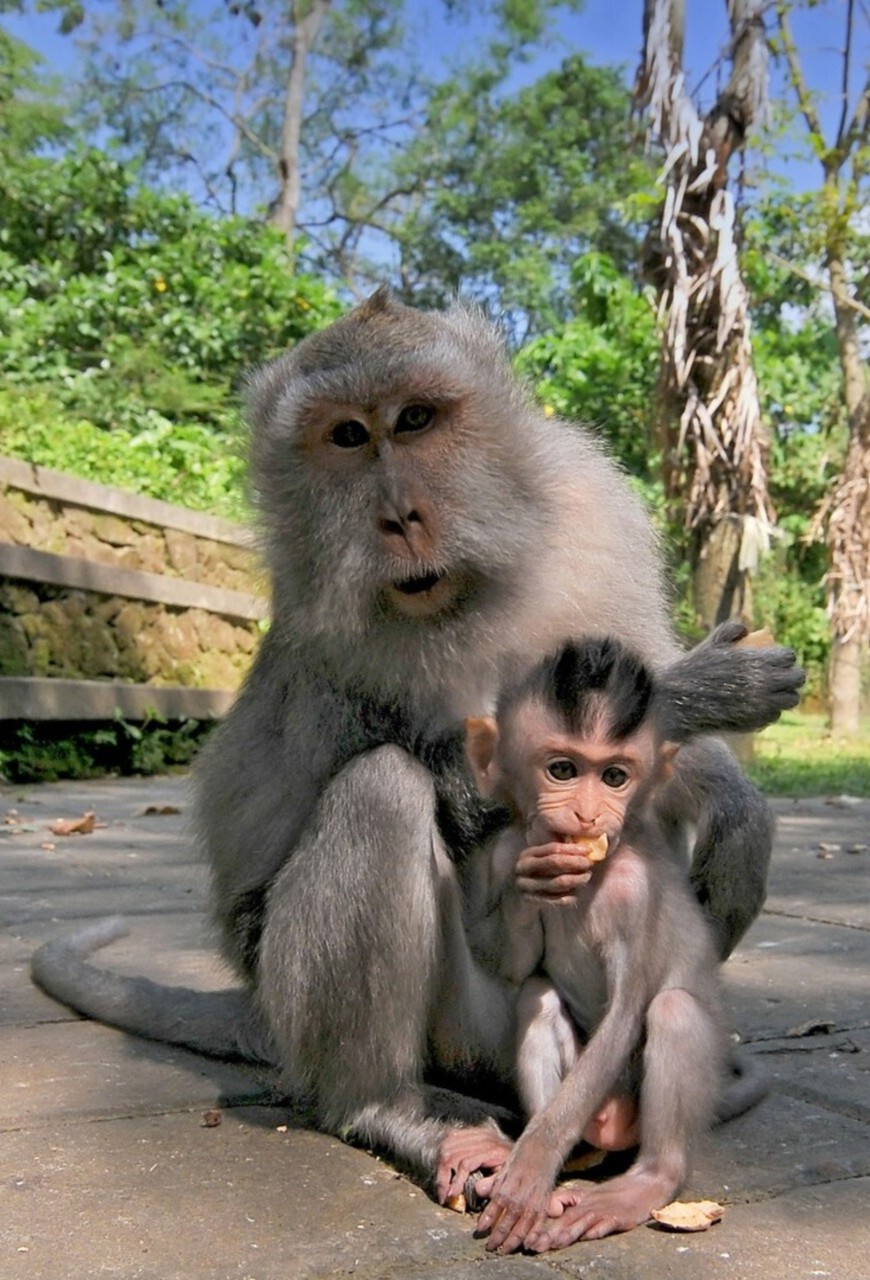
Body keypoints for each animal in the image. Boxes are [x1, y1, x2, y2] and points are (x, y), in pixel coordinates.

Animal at [441, 636, 729, 1251]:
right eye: (563, 770)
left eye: (616, 776)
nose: (589, 814)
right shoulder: (505, 850)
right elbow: (515, 965)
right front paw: (532, 887)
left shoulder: (635, 891)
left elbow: (625, 1012)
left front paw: (534, 1166)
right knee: (538, 995)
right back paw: (525, 1146)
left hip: (627, 1104)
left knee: (672, 1009)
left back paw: (643, 1182)